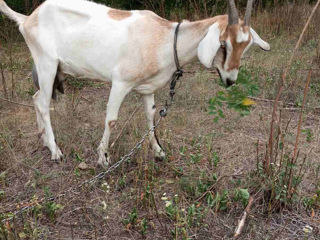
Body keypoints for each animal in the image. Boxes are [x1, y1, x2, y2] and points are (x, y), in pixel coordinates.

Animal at [0, 0, 270, 167]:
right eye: (223, 44)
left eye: (246, 45)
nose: (230, 80)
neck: (164, 39)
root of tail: (28, 18)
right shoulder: (121, 82)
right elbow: (111, 118)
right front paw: (103, 157)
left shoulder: (147, 88)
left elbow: (150, 116)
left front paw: (158, 152)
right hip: (46, 63)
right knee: (43, 103)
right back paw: (55, 151)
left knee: (36, 99)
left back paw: (44, 139)